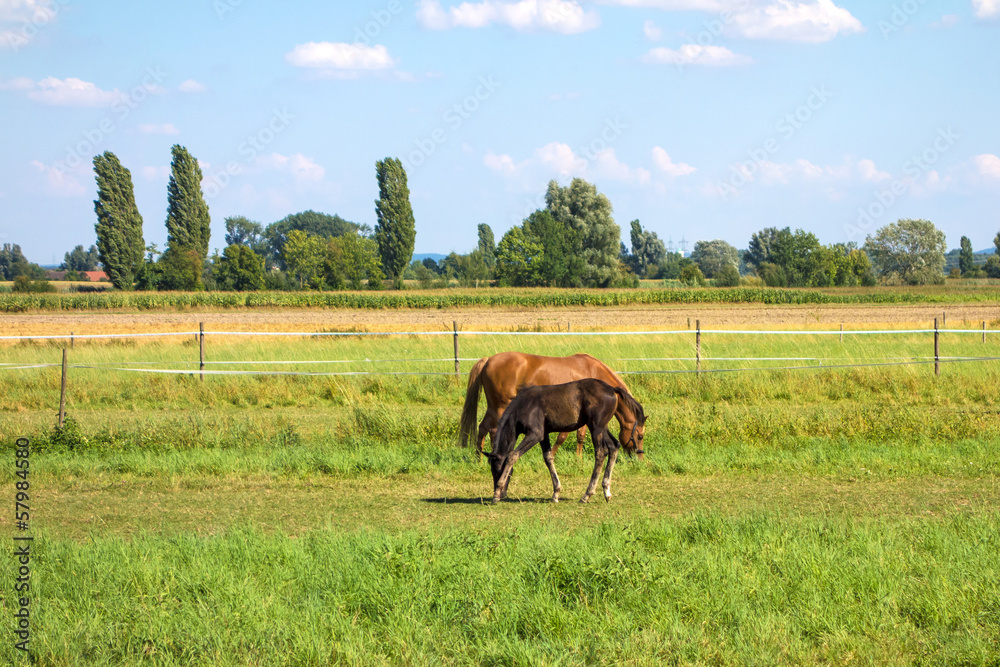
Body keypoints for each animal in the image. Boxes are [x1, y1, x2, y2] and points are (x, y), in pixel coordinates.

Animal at [458, 354, 644, 460]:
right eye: (640, 436)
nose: (639, 458)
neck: (593, 372)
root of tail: (488, 360)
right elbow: (563, 437)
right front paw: (553, 455)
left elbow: (580, 436)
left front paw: (578, 459)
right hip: (500, 407)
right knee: (494, 430)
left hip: (493, 407)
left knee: (483, 428)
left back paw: (479, 458)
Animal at [486, 378, 648, 504]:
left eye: (497, 470)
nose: (502, 493)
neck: (525, 405)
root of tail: (612, 389)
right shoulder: (544, 435)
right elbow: (548, 458)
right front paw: (556, 493)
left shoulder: (535, 434)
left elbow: (512, 456)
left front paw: (496, 494)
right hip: (602, 427)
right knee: (614, 446)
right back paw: (606, 491)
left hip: (596, 427)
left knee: (601, 453)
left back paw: (587, 494)